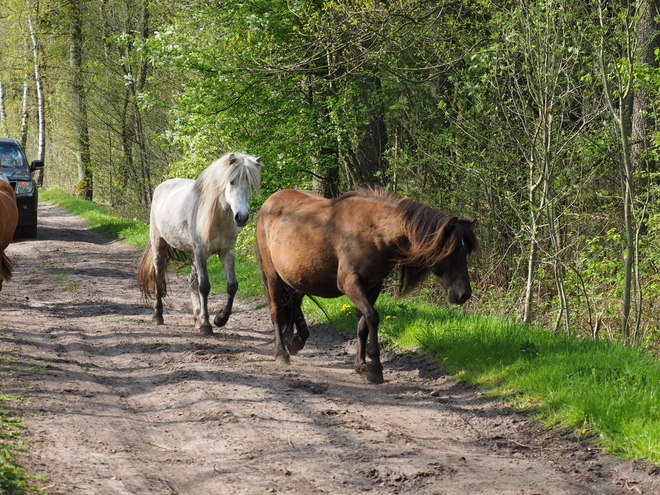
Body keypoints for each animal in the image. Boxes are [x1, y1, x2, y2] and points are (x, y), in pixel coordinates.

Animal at [138, 153, 262, 336]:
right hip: (159, 246)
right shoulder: (201, 251)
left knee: (191, 281)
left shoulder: (227, 252)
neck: (217, 217)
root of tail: (163, 185)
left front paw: (220, 319)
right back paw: (158, 316)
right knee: (159, 278)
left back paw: (197, 317)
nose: (241, 217)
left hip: (192, 255)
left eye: (251, 184)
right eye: (232, 181)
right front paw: (206, 325)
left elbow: (232, 286)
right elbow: (204, 287)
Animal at [255, 186, 476, 384]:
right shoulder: (350, 285)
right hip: (273, 276)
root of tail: (269, 202)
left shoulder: (373, 287)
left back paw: (298, 340)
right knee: (277, 311)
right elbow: (372, 317)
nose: (464, 294)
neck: (374, 232)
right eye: (453, 251)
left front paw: (361, 366)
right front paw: (375, 369)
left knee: (294, 303)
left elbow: (362, 325)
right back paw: (281, 353)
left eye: (465, 251)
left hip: (297, 275)